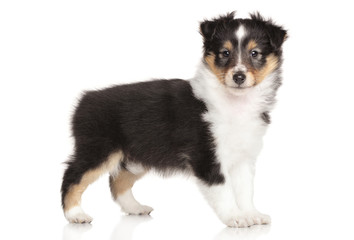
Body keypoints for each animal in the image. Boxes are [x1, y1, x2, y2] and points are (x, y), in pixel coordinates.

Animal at [61, 11, 288, 228]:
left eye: (254, 53)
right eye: (225, 53)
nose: (238, 77)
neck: (235, 102)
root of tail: (85, 98)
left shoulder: (243, 156)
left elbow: (245, 190)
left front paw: (252, 214)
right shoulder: (206, 156)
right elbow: (224, 190)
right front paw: (235, 218)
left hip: (136, 156)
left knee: (117, 179)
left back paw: (135, 207)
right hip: (98, 149)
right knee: (72, 176)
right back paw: (76, 215)